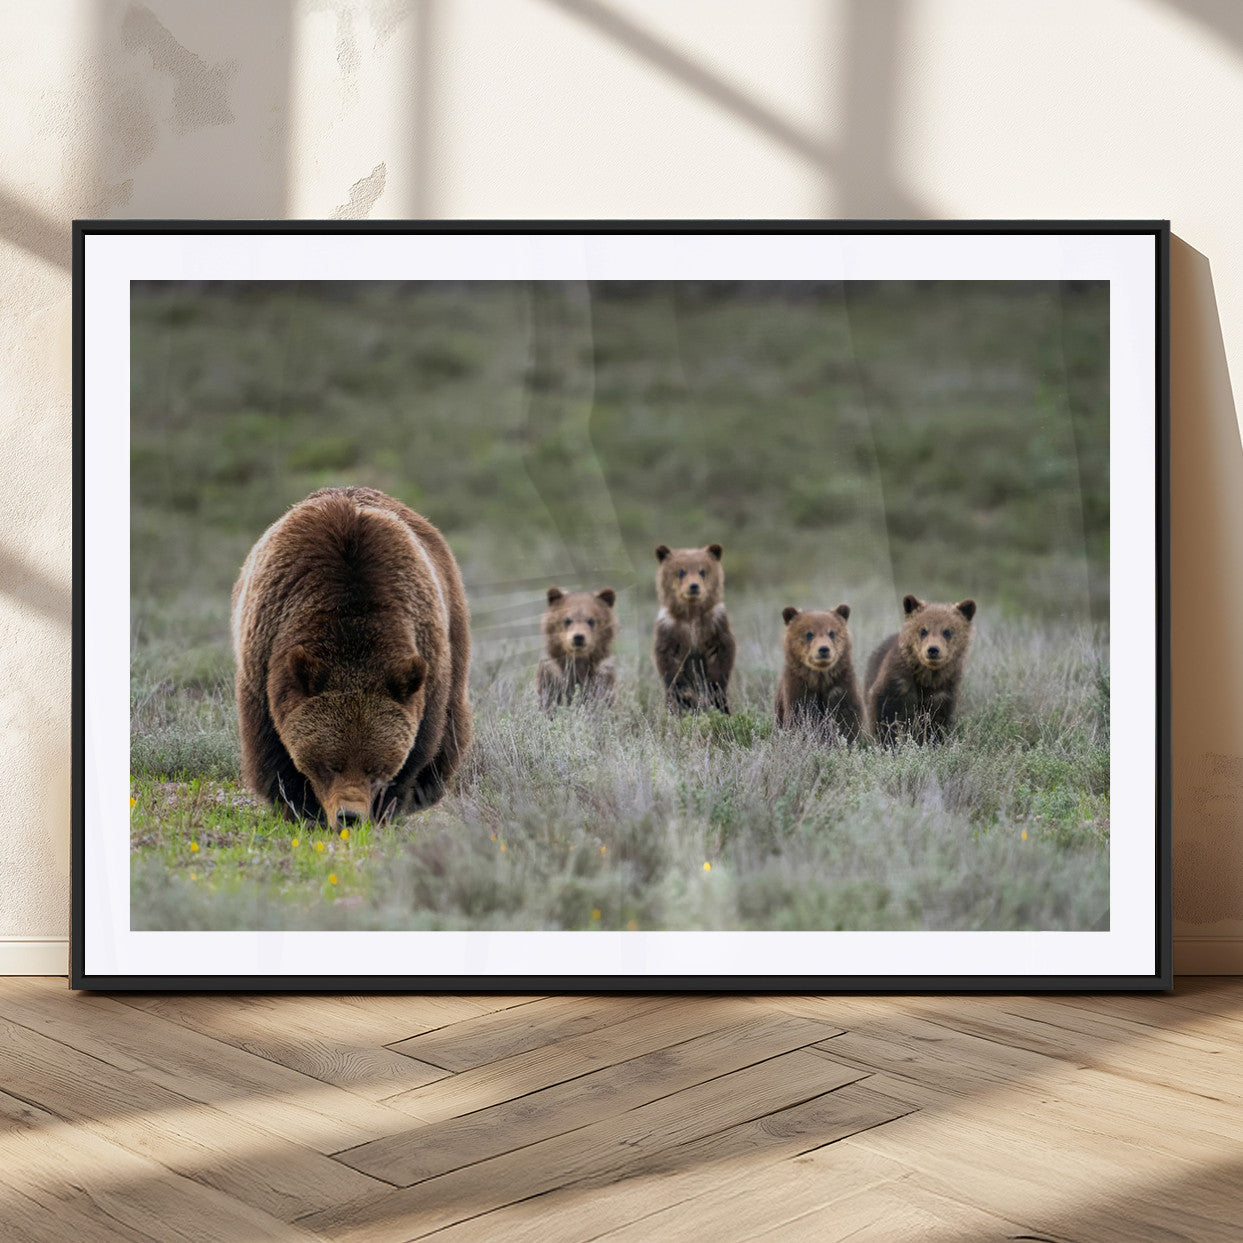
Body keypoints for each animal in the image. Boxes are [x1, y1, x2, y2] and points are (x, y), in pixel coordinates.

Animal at [231, 486, 472, 828]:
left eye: (375, 766)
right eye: (330, 763)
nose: (350, 816)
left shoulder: (426, 663)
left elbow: (420, 745)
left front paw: (387, 808)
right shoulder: (265, 659)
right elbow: (272, 749)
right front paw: (301, 808)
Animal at [652, 543, 736, 713]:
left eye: (702, 571)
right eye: (681, 571)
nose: (694, 586)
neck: (691, 616)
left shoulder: (715, 625)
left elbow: (721, 657)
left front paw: (713, 690)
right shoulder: (670, 630)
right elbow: (669, 664)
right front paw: (685, 695)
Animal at [774, 604, 864, 742]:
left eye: (831, 632)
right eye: (809, 634)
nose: (823, 649)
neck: (820, 678)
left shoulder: (841, 686)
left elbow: (847, 720)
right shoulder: (798, 689)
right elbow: (799, 718)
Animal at [865, 595, 977, 744]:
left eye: (947, 631)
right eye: (923, 630)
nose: (933, 649)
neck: (927, 678)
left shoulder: (943, 691)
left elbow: (937, 722)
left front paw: (932, 741)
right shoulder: (897, 682)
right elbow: (884, 712)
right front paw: (889, 741)